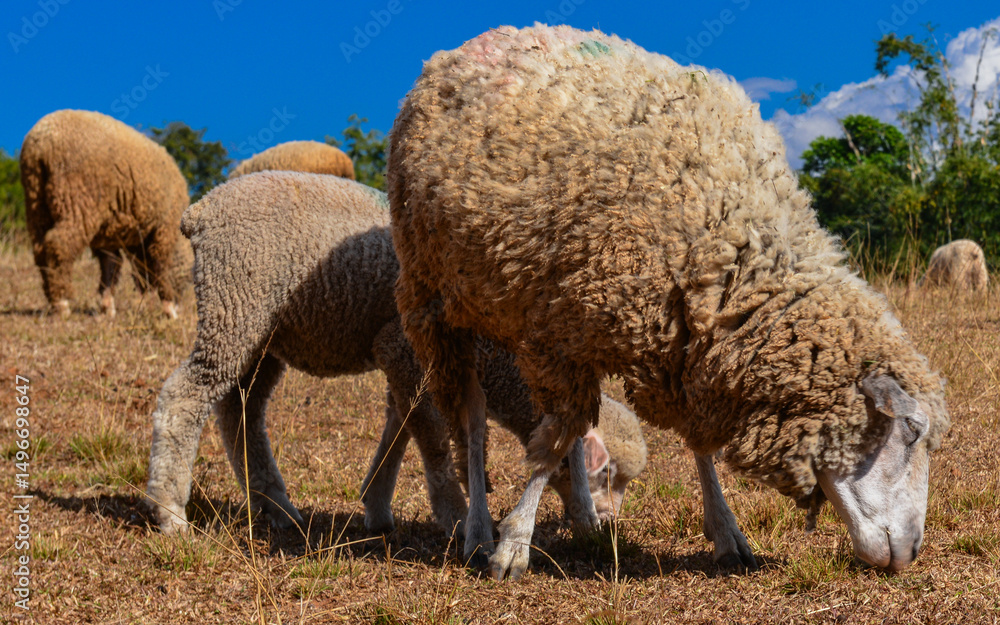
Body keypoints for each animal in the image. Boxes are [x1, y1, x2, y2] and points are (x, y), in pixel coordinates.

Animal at [19, 109, 190, 318]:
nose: (181, 306)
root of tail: (41, 141)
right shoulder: (164, 230)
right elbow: (162, 266)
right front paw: (169, 309)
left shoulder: (109, 237)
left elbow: (111, 267)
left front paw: (107, 307)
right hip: (77, 200)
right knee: (58, 245)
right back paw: (62, 303)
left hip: (36, 202)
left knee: (39, 249)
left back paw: (53, 299)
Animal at [145, 170, 647, 539]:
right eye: (605, 474)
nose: (604, 525)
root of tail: (202, 210)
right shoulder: (404, 348)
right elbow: (430, 435)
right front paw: (457, 516)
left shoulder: (408, 362)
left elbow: (400, 426)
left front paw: (377, 506)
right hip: (236, 302)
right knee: (186, 397)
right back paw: (171, 511)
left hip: (264, 332)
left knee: (241, 410)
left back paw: (276, 507)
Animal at [387, 24, 951, 579]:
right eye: (911, 430)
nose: (912, 551)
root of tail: (479, 40)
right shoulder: (557, 337)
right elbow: (549, 447)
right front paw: (514, 545)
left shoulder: (685, 344)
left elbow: (694, 446)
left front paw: (727, 531)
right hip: (436, 299)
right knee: (473, 421)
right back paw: (478, 530)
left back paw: (585, 518)